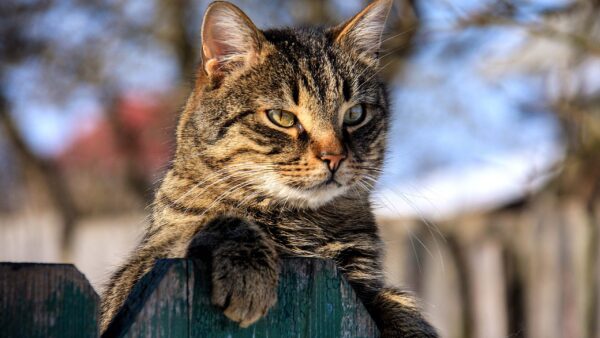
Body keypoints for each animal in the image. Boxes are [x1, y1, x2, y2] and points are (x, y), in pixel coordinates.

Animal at [98, 1, 436, 336]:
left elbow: (397, 304)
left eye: (355, 114)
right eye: (281, 117)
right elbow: (218, 223)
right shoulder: (133, 279)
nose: (334, 157)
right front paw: (247, 270)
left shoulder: (363, 281)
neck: (302, 222)